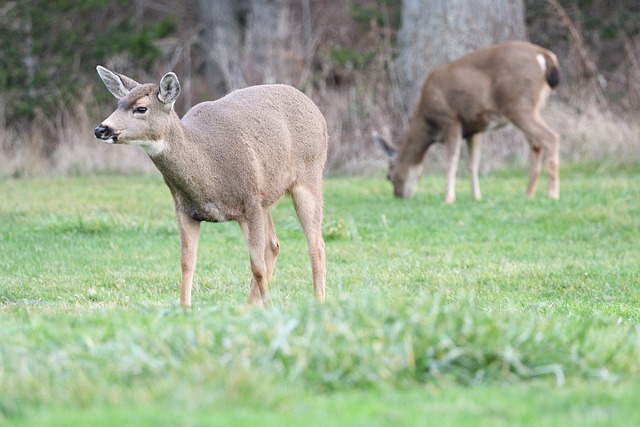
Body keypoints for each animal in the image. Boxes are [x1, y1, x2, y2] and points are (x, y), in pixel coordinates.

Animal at [94, 67, 330, 308]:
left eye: (141, 108)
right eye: (119, 104)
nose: (101, 129)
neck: (207, 171)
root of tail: (313, 107)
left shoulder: (250, 202)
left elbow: (257, 266)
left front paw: (271, 310)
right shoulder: (185, 209)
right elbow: (187, 262)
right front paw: (184, 308)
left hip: (309, 176)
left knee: (316, 244)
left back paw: (319, 301)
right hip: (267, 197)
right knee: (274, 245)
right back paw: (248, 308)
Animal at [376, 41, 560, 205]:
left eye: (388, 177)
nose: (398, 195)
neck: (427, 121)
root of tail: (543, 55)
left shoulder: (451, 120)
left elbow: (451, 162)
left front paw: (448, 199)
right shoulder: (474, 129)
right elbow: (472, 164)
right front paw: (476, 197)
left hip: (518, 105)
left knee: (551, 137)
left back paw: (552, 194)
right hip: (533, 107)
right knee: (537, 144)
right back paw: (528, 195)